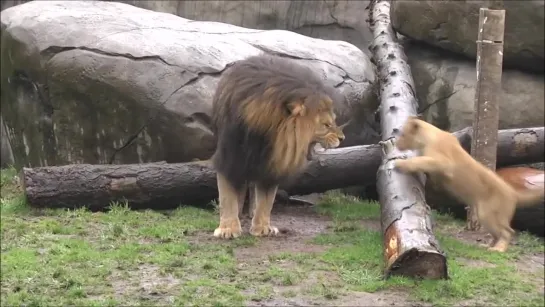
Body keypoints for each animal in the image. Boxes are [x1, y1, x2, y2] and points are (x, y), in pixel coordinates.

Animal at [210, 54, 346, 241]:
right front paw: (228, 229)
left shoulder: (273, 165)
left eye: (334, 121)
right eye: (326, 125)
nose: (342, 138)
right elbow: (227, 196)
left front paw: (262, 228)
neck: (269, 135)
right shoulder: (230, 157)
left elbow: (266, 201)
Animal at [394, 116, 540, 254]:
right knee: (497, 233)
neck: (428, 136)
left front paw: (400, 163)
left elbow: (420, 160)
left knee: (507, 231)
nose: (396, 144)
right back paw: (487, 245)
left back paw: (498, 249)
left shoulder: (444, 163)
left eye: (403, 134)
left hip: (488, 212)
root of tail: (513, 193)